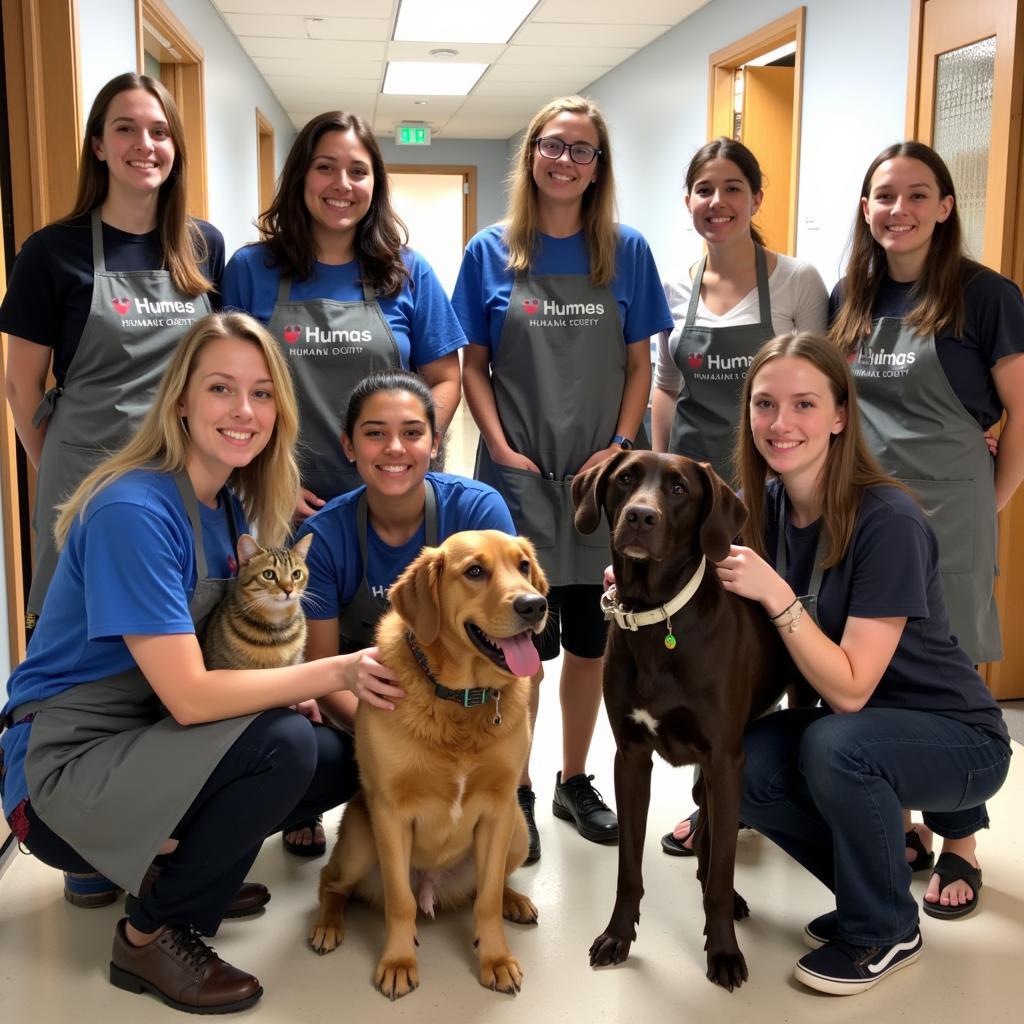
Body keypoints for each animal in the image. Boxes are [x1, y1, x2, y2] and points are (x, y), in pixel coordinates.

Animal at [307, 532, 548, 995]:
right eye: (475, 571)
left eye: (524, 566)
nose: (535, 605)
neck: (461, 698)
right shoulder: (389, 812)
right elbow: (399, 902)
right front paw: (398, 961)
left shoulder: (499, 809)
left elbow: (487, 898)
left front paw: (495, 958)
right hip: (361, 845)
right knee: (330, 882)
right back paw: (328, 926)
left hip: (517, 832)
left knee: (488, 889)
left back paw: (515, 901)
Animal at [573, 452, 794, 987]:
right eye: (625, 478)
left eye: (678, 489)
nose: (640, 516)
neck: (658, 621)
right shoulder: (631, 757)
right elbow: (629, 868)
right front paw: (617, 936)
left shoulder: (725, 761)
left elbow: (721, 871)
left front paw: (724, 951)